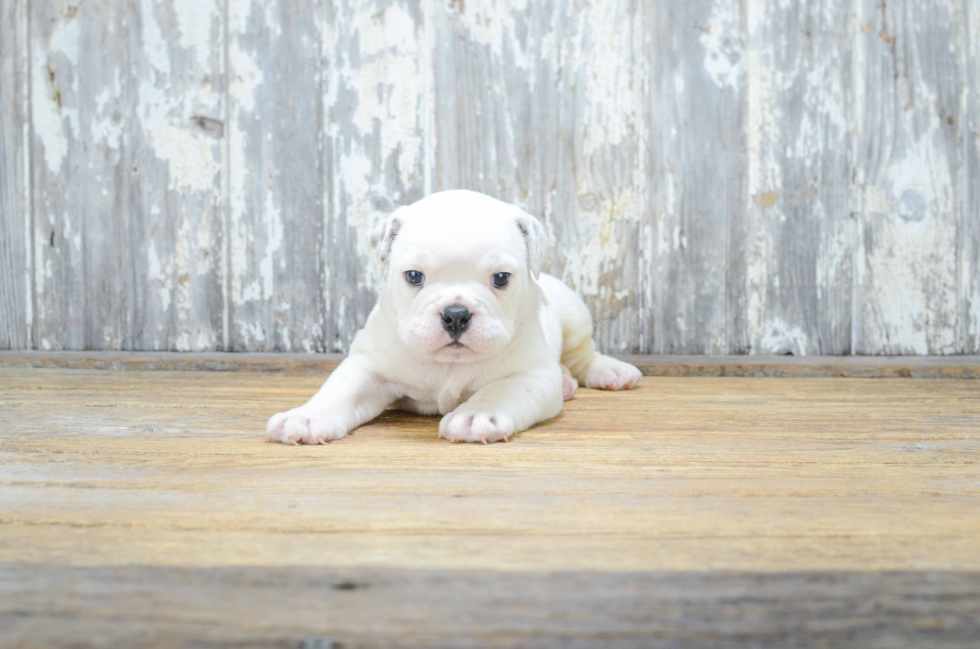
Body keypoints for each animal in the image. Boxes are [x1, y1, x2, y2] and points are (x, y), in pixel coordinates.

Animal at [266, 187, 644, 442]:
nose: (456, 315)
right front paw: (307, 417)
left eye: (500, 278)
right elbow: (339, 391)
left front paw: (477, 415)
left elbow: (499, 391)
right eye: (414, 276)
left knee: (582, 353)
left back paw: (607, 371)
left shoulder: (531, 374)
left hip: (574, 315)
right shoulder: (369, 367)